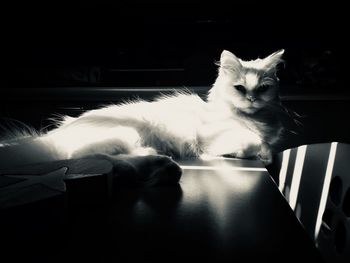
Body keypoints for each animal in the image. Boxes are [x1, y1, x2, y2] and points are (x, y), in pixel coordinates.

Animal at [0, 49, 290, 186]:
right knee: (83, 158)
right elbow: (254, 143)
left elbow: (267, 148)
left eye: (263, 88)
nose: (252, 99)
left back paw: (155, 165)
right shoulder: (213, 138)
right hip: (120, 135)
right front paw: (254, 152)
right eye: (240, 88)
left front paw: (264, 154)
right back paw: (154, 165)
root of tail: (49, 138)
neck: (254, 120)